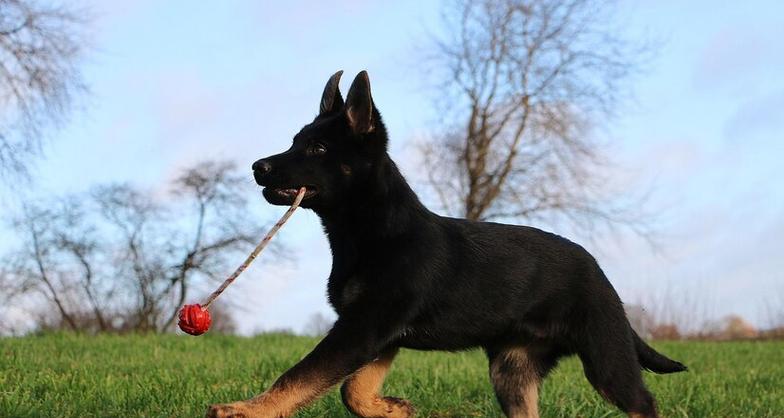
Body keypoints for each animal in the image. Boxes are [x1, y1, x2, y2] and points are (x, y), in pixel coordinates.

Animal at [208, 71, 688, 418]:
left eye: (319, 148)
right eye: (295, 142)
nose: (258, 167)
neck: (373, 230)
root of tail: (600, 273)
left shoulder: (364, 327)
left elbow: (299, 376)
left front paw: (243, 410)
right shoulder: (380, 333)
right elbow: (351, 389)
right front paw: (392, 409)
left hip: (607, 358)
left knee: (643, 403)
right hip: (512, 372)